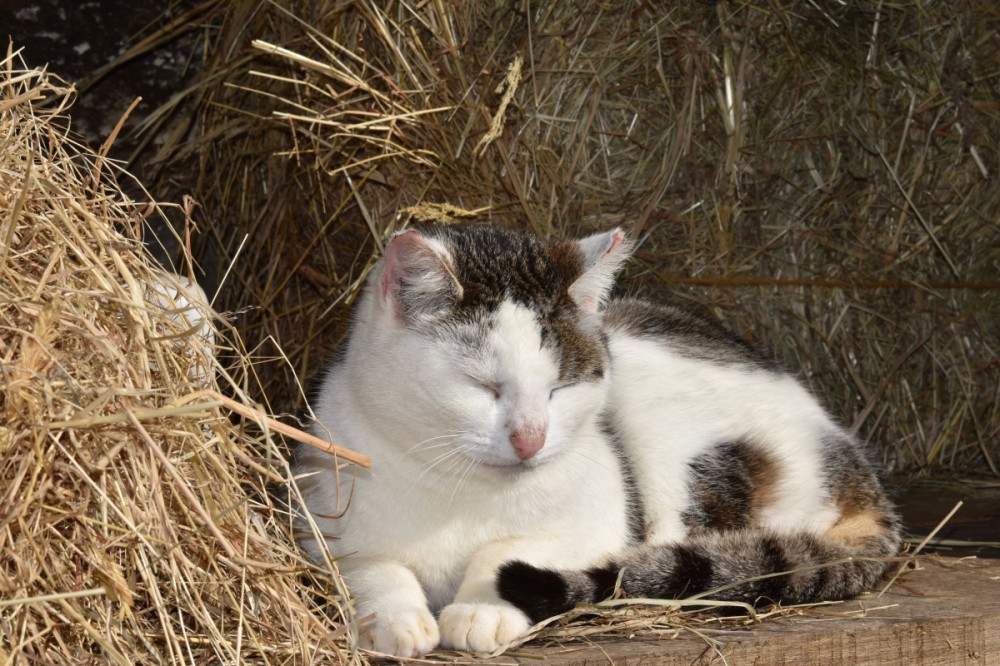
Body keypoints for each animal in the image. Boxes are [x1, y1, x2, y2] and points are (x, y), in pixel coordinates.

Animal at [292, 222, 904, 652]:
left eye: (560, 388)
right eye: (483, 386)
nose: (531, 440)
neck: (461, 490)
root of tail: (852, 460)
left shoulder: (601, 520)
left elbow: (507, 551)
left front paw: (482, 607)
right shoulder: (318, 514)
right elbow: (370, 564)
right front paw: (395, 618)